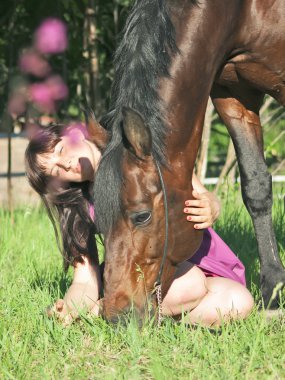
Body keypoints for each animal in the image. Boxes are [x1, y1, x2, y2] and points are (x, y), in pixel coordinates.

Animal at [90, 0, 284, 320]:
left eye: (142, 215)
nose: (117, 315)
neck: (241, 11)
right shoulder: (233, 93)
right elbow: (256, 187)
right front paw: (274, 291)